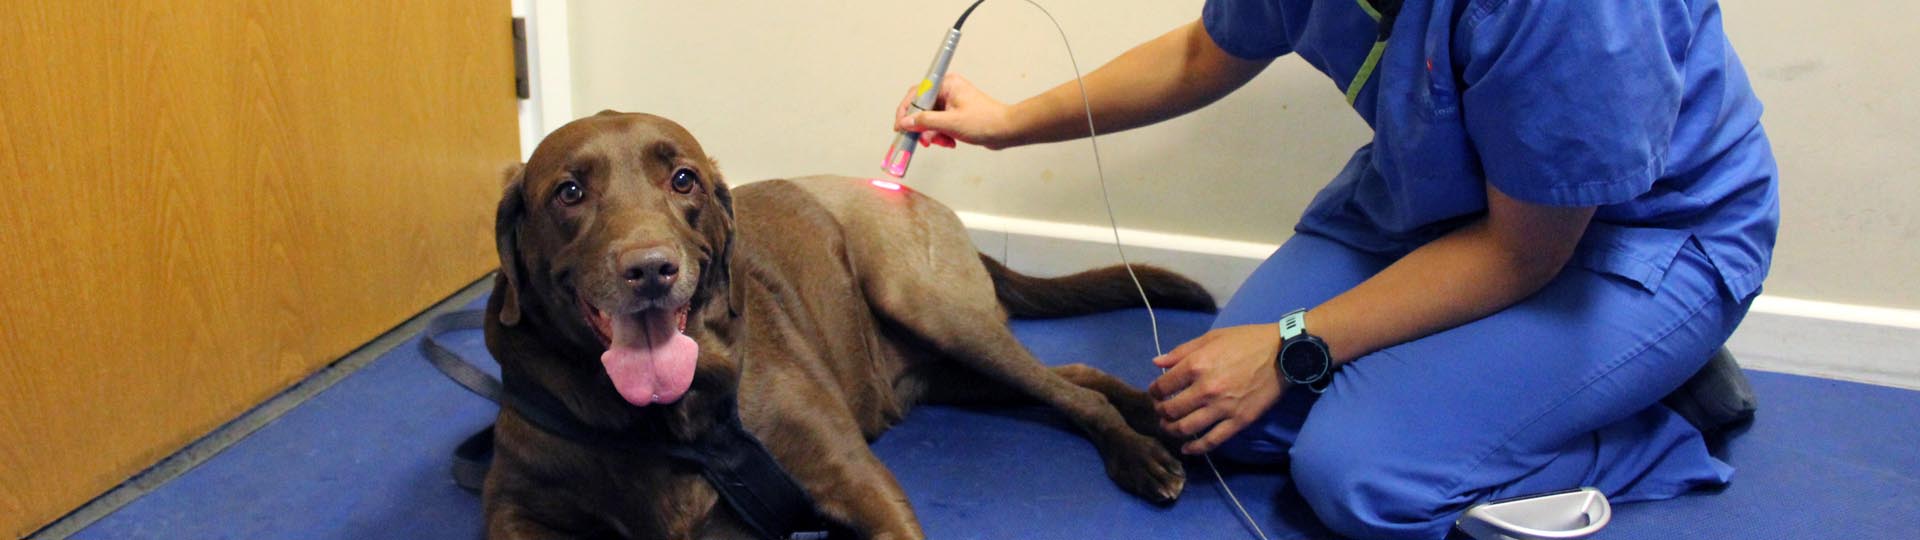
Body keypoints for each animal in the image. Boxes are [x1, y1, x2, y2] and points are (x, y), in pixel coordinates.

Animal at [487, 111, 1221, 534]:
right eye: (570, 192)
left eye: (683, 180)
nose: (650, 269)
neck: (677, 422)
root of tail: (921, 199)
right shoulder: (514, 509)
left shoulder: (856, 479)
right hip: (947, 372)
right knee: (1076, 375)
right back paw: (1156, 415)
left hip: (930, 309)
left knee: (1072, 392)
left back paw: (1145, 453)